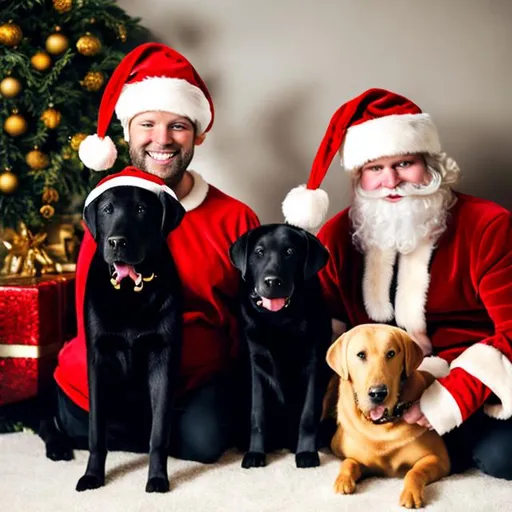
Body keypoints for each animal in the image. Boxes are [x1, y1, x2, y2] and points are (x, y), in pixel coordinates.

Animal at [74, 183, 184, 492]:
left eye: (142, 209)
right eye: (107, 209)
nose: (117, 242)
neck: (129, 293)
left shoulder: (163, 355)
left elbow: (158, 433)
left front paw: (157, 478)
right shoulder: (97, 356)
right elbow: (96, 432)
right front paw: (92, 476)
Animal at [231, 223, 332, 468]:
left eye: (290, 252)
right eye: (259, 252)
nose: (272, 281)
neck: (279, 319)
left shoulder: (314, 363)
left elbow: (308, 415)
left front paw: (306, 452)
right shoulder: (256, 366)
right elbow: (257, 414)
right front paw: (255, 453)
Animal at [326, 324, 450, 508]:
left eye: (391, 353)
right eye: (361, 355)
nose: (378, 393)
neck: (381, 427)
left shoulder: (439, 459)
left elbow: (415, 472)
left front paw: (411, 493)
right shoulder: (364, 463)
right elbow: (349, 462)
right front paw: (343, 480)